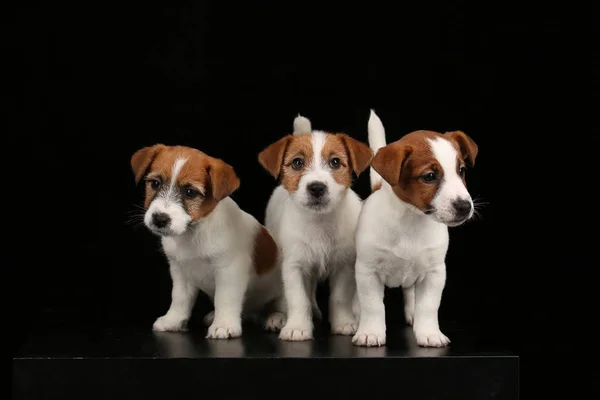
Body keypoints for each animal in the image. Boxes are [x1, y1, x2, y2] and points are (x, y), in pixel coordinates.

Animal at [130, 145, 284, 340]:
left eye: (190, 192)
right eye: (155, 184)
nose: (159, 219)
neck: (193, 233)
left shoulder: (229, 272)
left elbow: (224, 299)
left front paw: (224, 324)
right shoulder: (181, 272)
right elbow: (179, 298)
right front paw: (173, 320)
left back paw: (276, 318)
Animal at [258, 115, 376, 340]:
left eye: (335, 162)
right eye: (297, 162)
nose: (317, 188)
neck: (319, 223)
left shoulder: (343, 265)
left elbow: (339, 298)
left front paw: (343, 323)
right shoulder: (294, 266)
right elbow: (298, 299)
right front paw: (297, 327)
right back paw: (279, 316)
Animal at [352, 111, 478, 348]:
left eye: (461, 171)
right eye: (429, 176)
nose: (465, 207)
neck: (411, 221)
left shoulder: (434, 273)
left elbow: (428, 306)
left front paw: (429, 333)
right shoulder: (367, 271)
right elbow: (372, 305)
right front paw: (371, 332)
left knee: (411, 292)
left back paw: (413, 314)